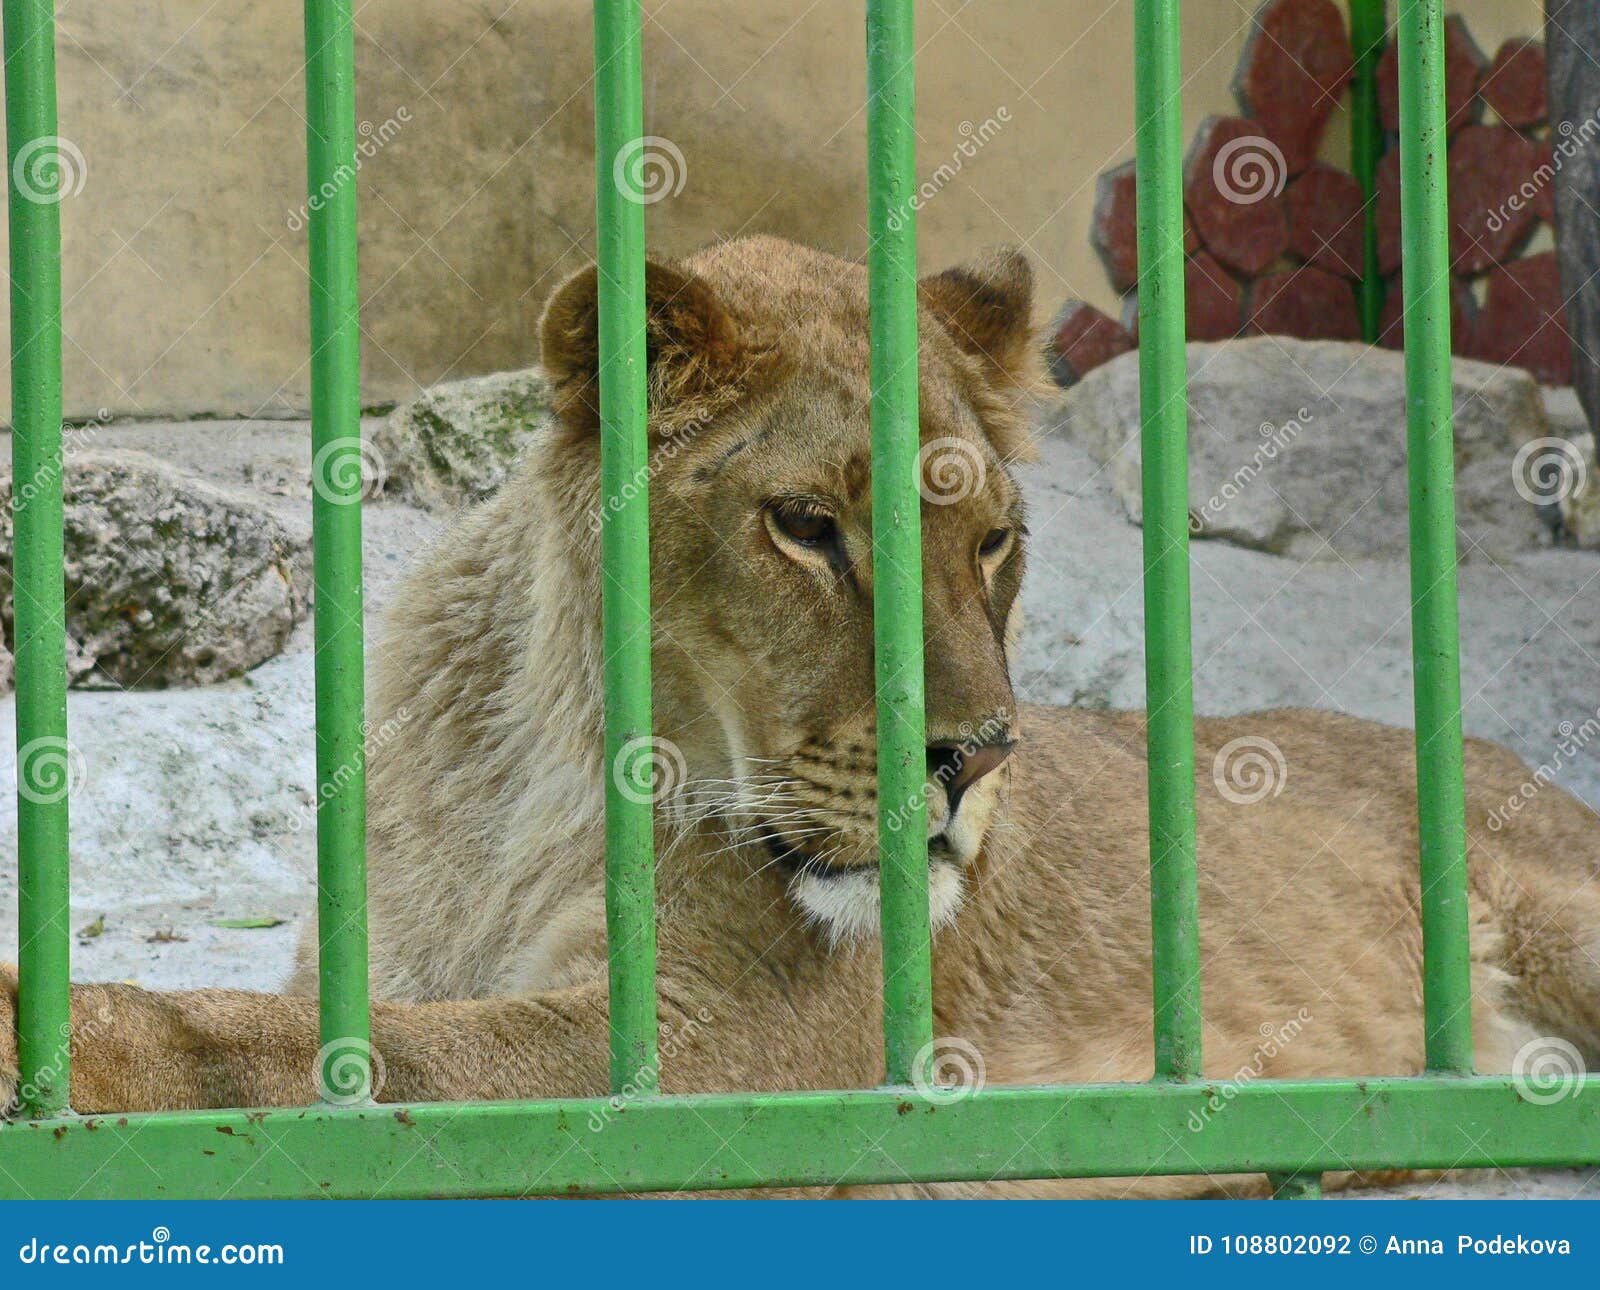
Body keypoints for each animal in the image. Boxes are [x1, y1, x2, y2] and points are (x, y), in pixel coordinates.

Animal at [5, 236, 1600, 1198]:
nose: (977, 759)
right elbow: (310, 1034)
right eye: (806, 527)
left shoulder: (720, 1056)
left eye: (994, 543)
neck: (535, 768)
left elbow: (326, 1055)